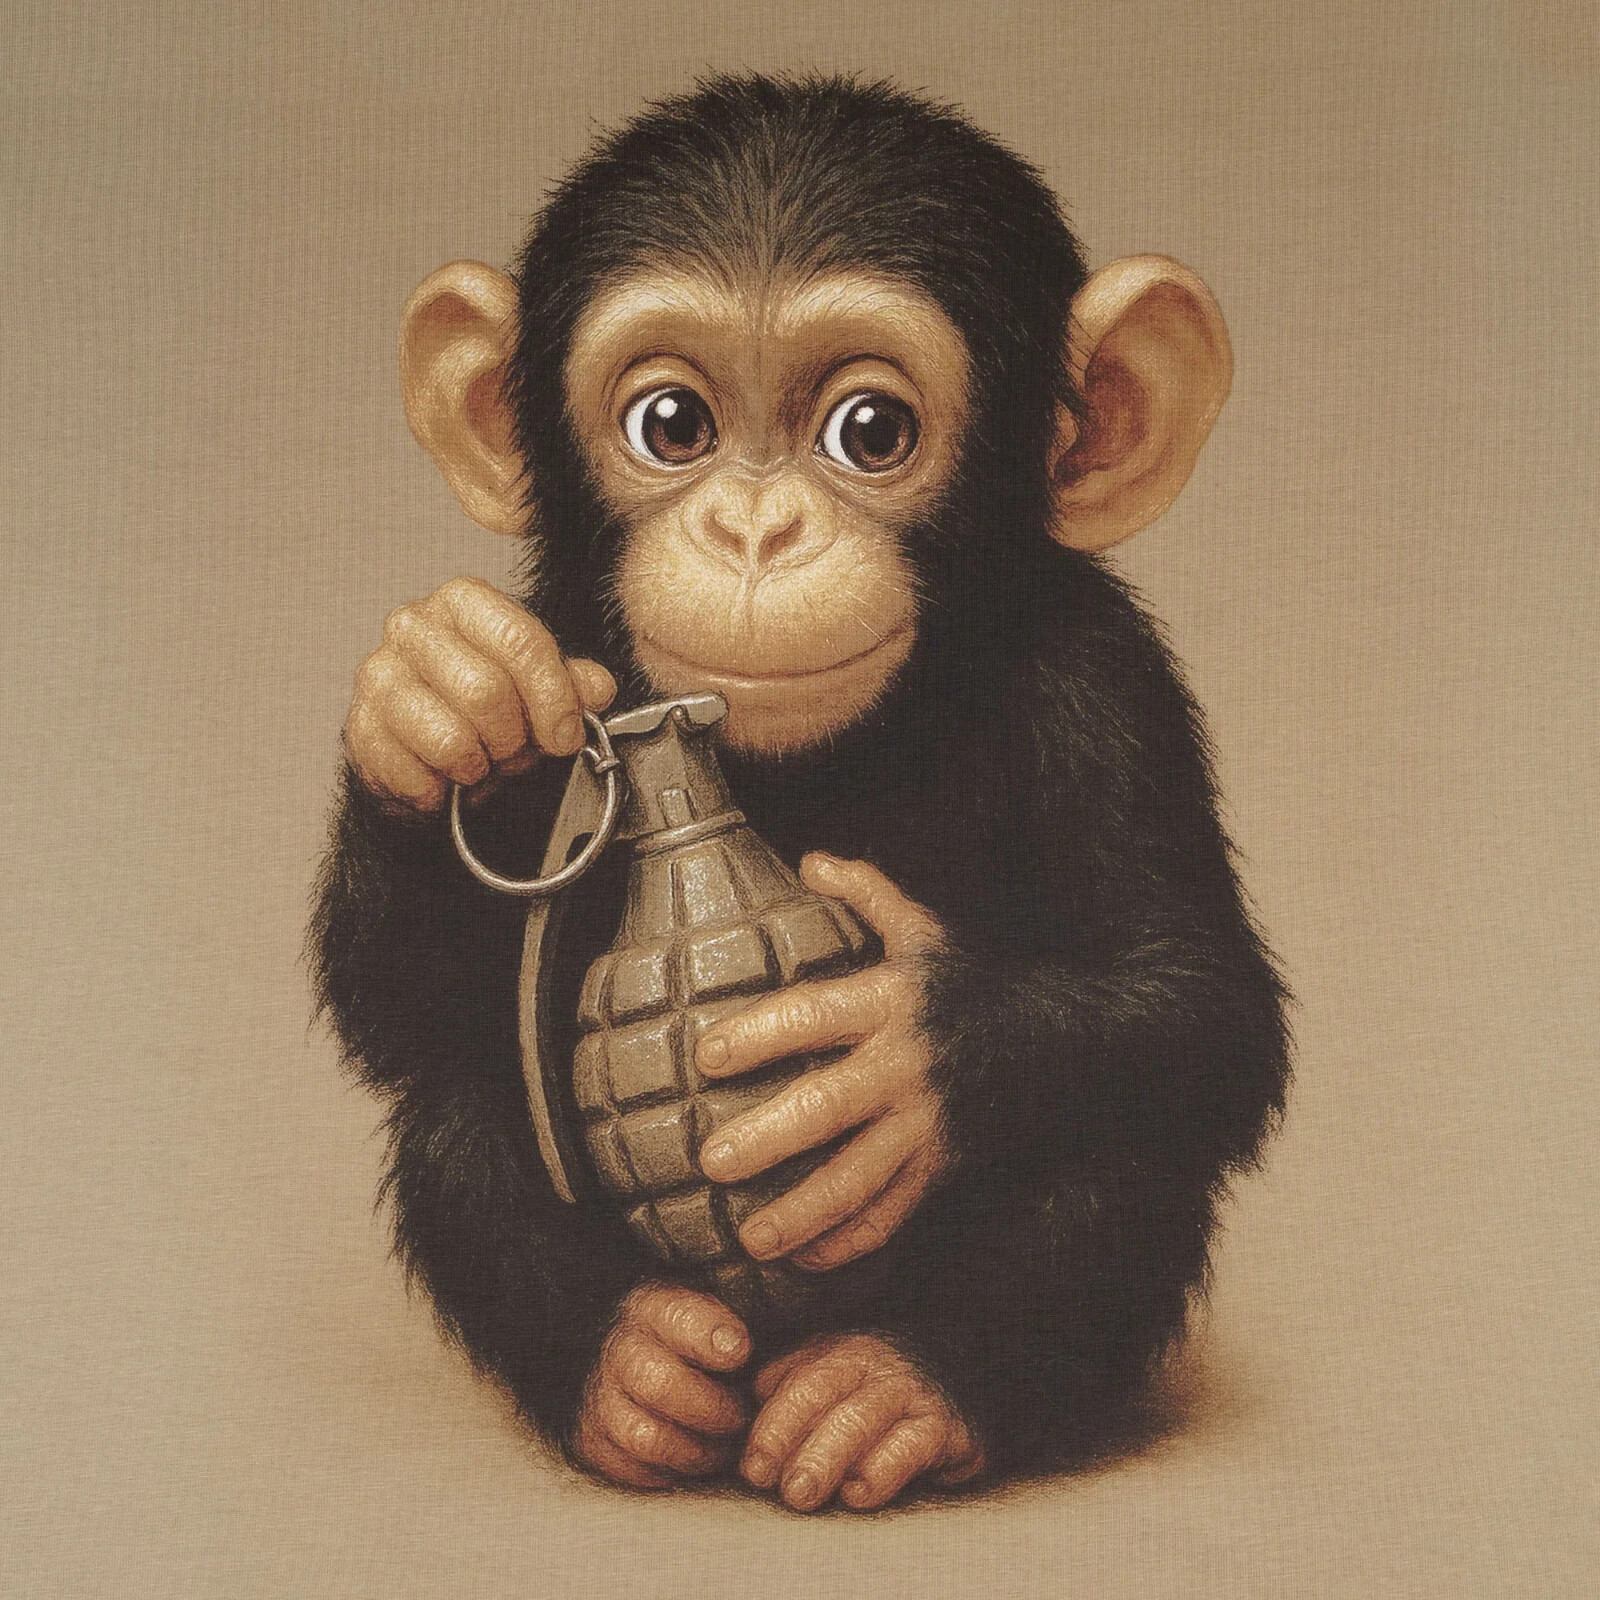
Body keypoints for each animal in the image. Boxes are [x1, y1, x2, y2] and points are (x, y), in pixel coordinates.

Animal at [311, 73, 1290, 1513]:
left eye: (868, 432)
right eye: (672, 424)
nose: (756, 529)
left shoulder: (1104, 685)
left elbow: (1197, 999)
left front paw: (904, 1038)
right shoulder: (575, 644)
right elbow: (409, 1008)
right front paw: (440, 700)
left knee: (1129, 1156)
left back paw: (897, 1388)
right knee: (452, 1113)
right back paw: (631, 1365)